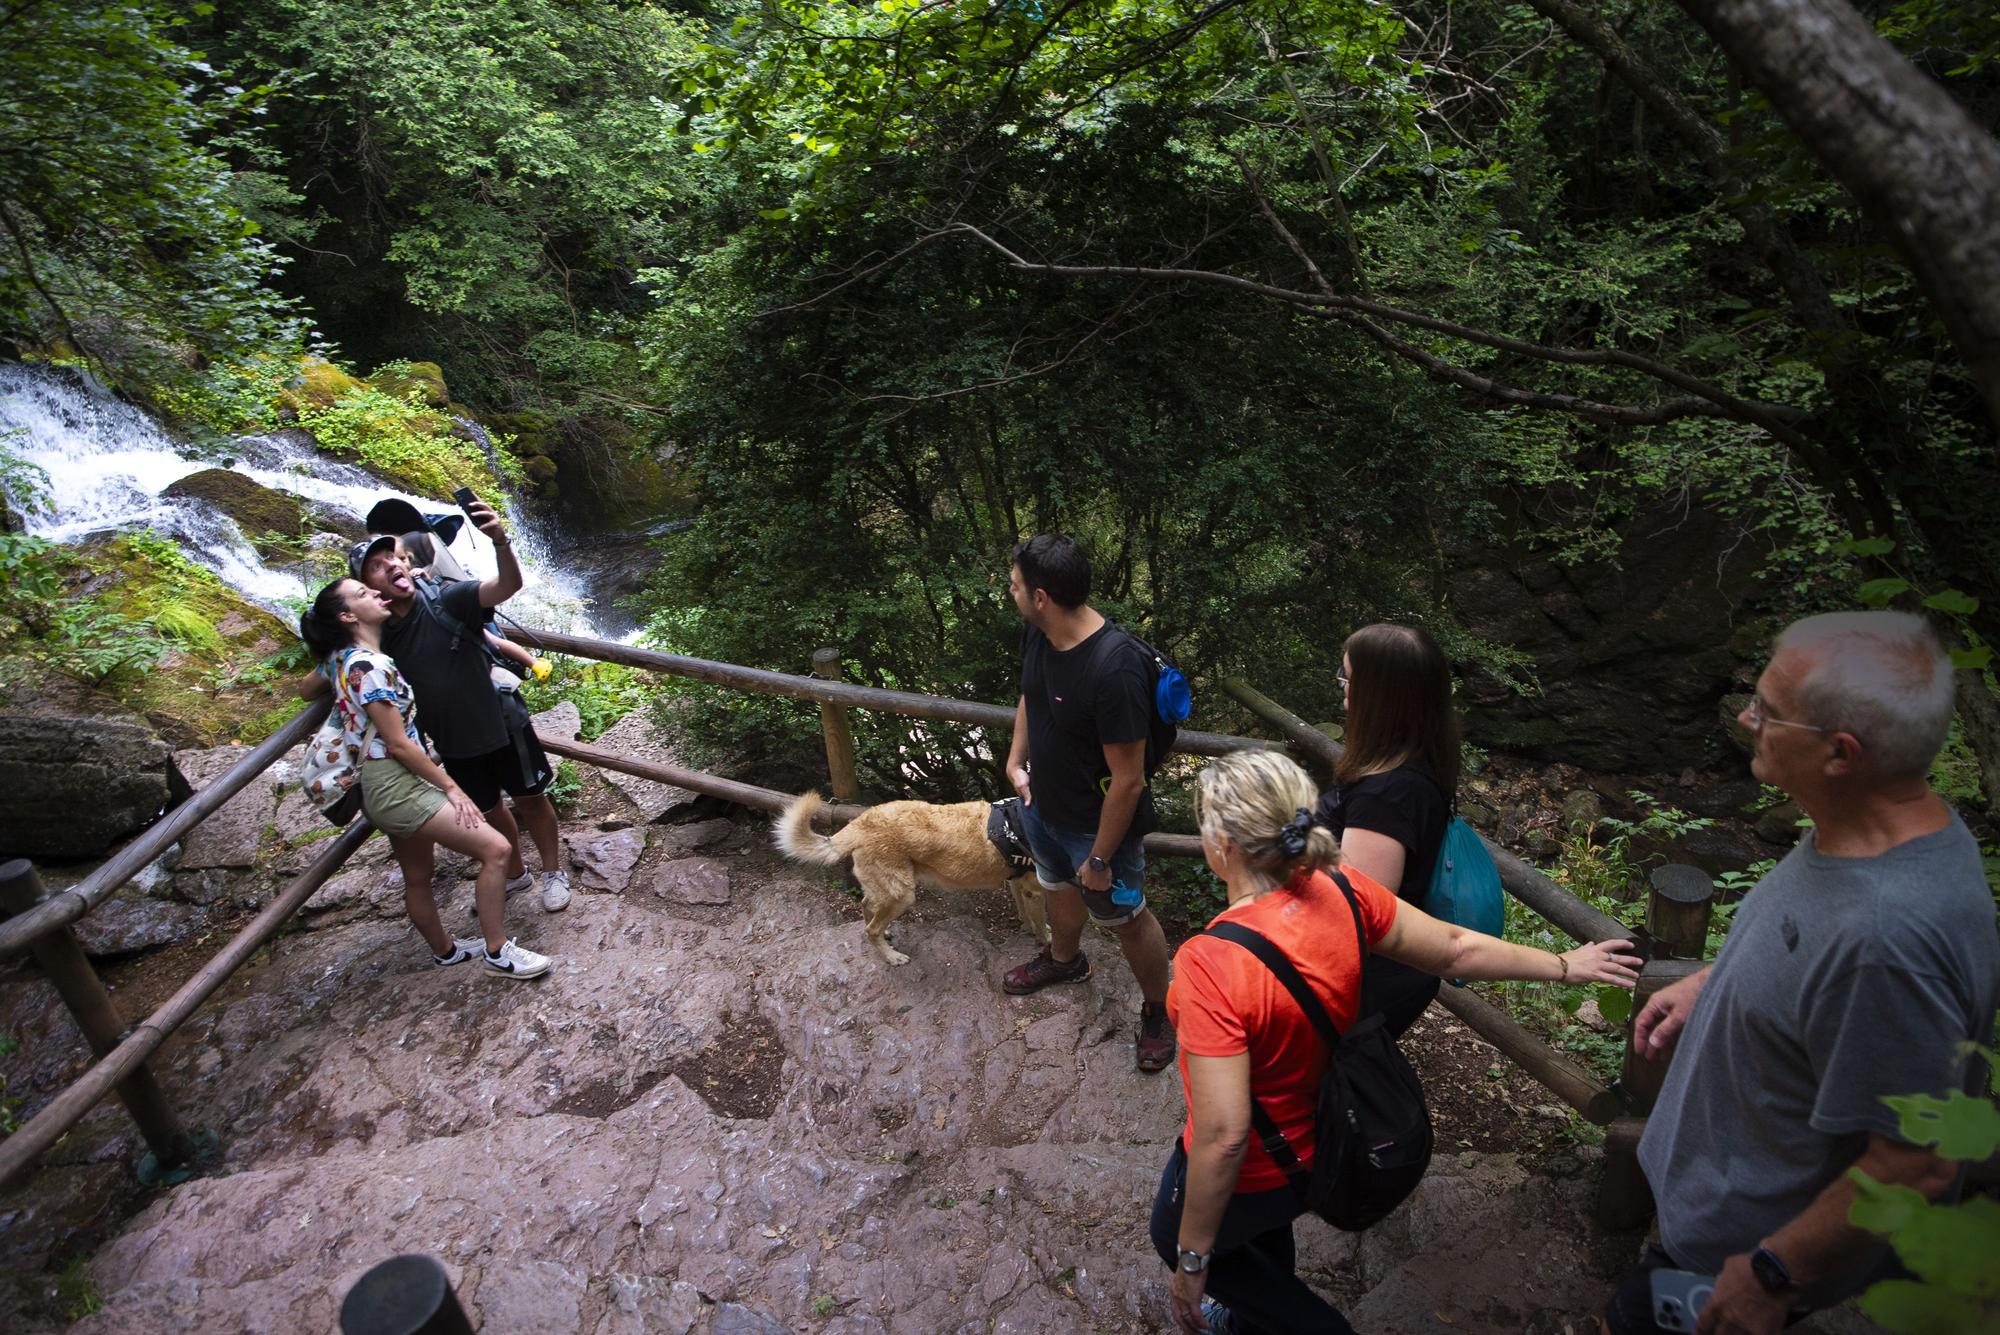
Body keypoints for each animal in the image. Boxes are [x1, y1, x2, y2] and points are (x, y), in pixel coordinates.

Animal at [768, 787, 1056, 963]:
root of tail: (859, 823)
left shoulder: (1019, 884)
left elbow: (1026, 915)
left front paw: (1029, 930)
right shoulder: (1034, 890)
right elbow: (1041, 923)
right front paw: (1045, 941)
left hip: (887, 890)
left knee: (866, 906)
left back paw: (886, 936)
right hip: (902, 895)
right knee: (871, 929)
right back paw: (891, 957)